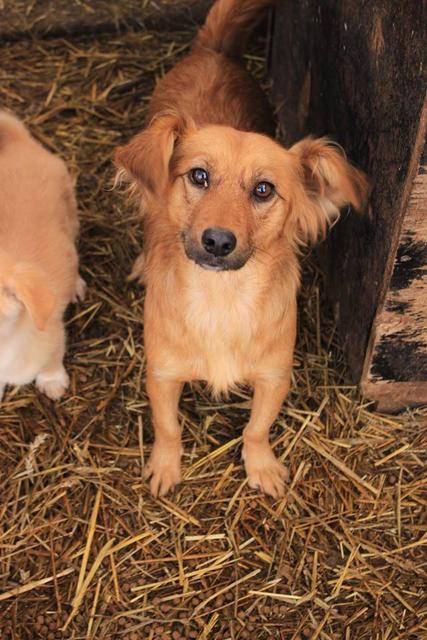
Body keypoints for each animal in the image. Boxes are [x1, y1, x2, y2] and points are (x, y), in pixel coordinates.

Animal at [116, 0, 368, 498]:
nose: (217, 241)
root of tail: (214, 52)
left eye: (264, 189)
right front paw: (165, 466)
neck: (222, 299)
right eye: (198, 176)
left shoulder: (274, 376)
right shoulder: (162, 374)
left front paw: (261, 466)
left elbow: (256, 428)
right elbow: (167, 427)